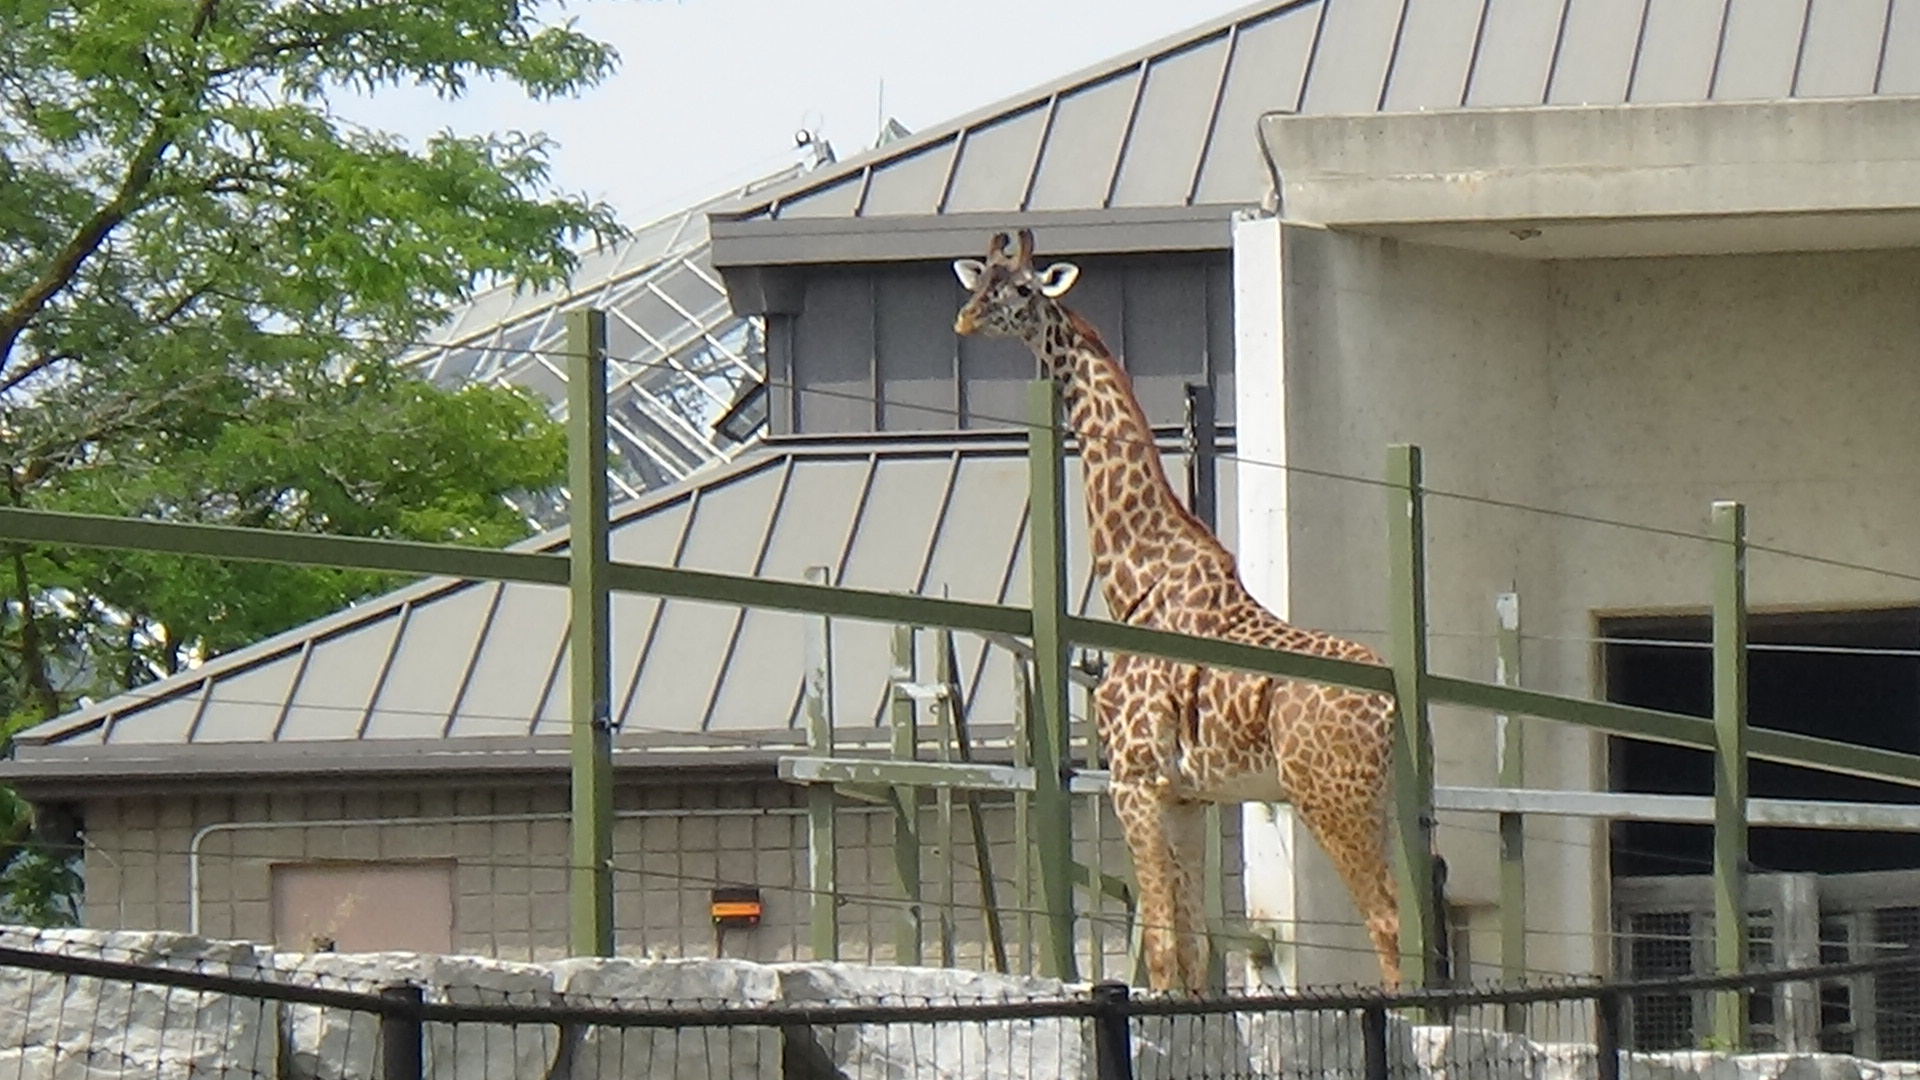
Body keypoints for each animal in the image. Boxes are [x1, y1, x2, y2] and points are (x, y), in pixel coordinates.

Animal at [953, 229, 1404, 993]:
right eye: (979, 278)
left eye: (1021, 289)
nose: (963, 319)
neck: (1135, 575)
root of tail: (1390, 706)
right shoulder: (1187, 796)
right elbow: (1193, 952)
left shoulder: (1133, 778)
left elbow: (1162, 948)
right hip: (1375, 800)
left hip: (1330, 794)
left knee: (1387, 920)